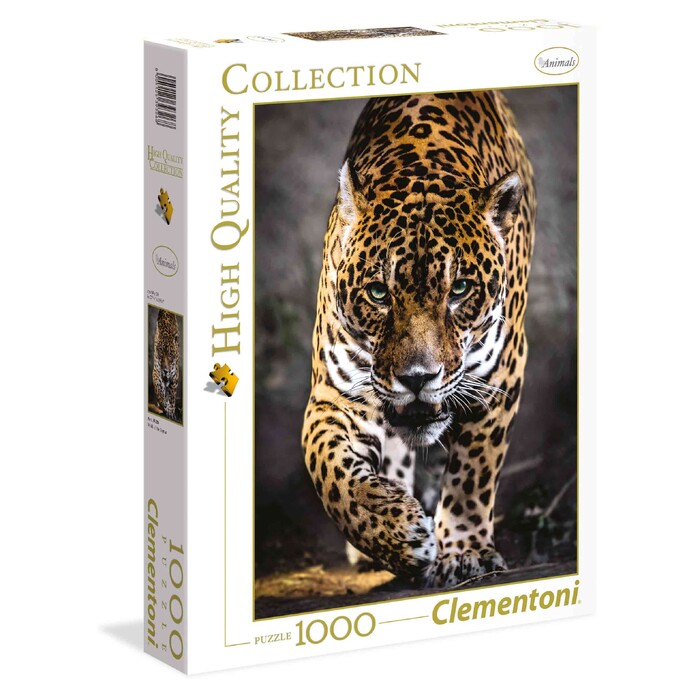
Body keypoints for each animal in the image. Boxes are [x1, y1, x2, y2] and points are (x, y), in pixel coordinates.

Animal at [302, 91, 535, 588]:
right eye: (378, 293)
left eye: (460, 289)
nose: (416, 378)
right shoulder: (335, 393)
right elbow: (328, 469)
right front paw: (396, 533)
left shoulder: (500, 376)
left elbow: (473, 472)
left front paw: (464, 552)